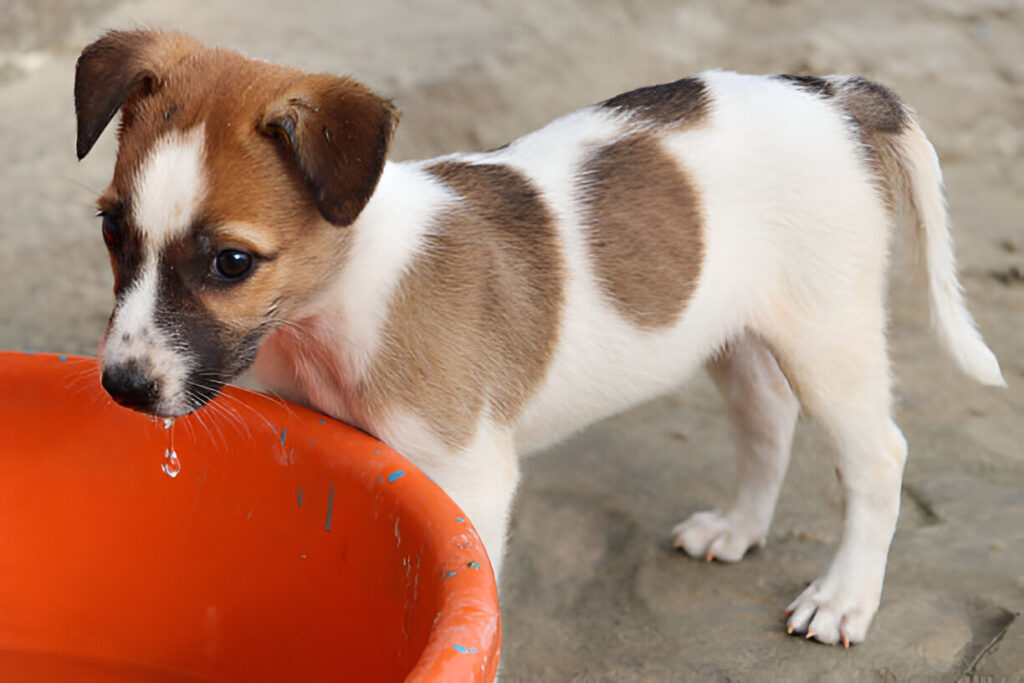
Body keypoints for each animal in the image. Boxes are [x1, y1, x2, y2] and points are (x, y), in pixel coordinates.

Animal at [75, 30, 1003, 647]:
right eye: (113, 230)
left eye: (232, 262)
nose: (121, 387)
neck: (351, 299)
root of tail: (835, 94)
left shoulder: (469, 481)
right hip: (733, 327)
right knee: (767, 418)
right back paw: (737, 526)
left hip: (828, 330)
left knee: (878, 456)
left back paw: (844, 599)